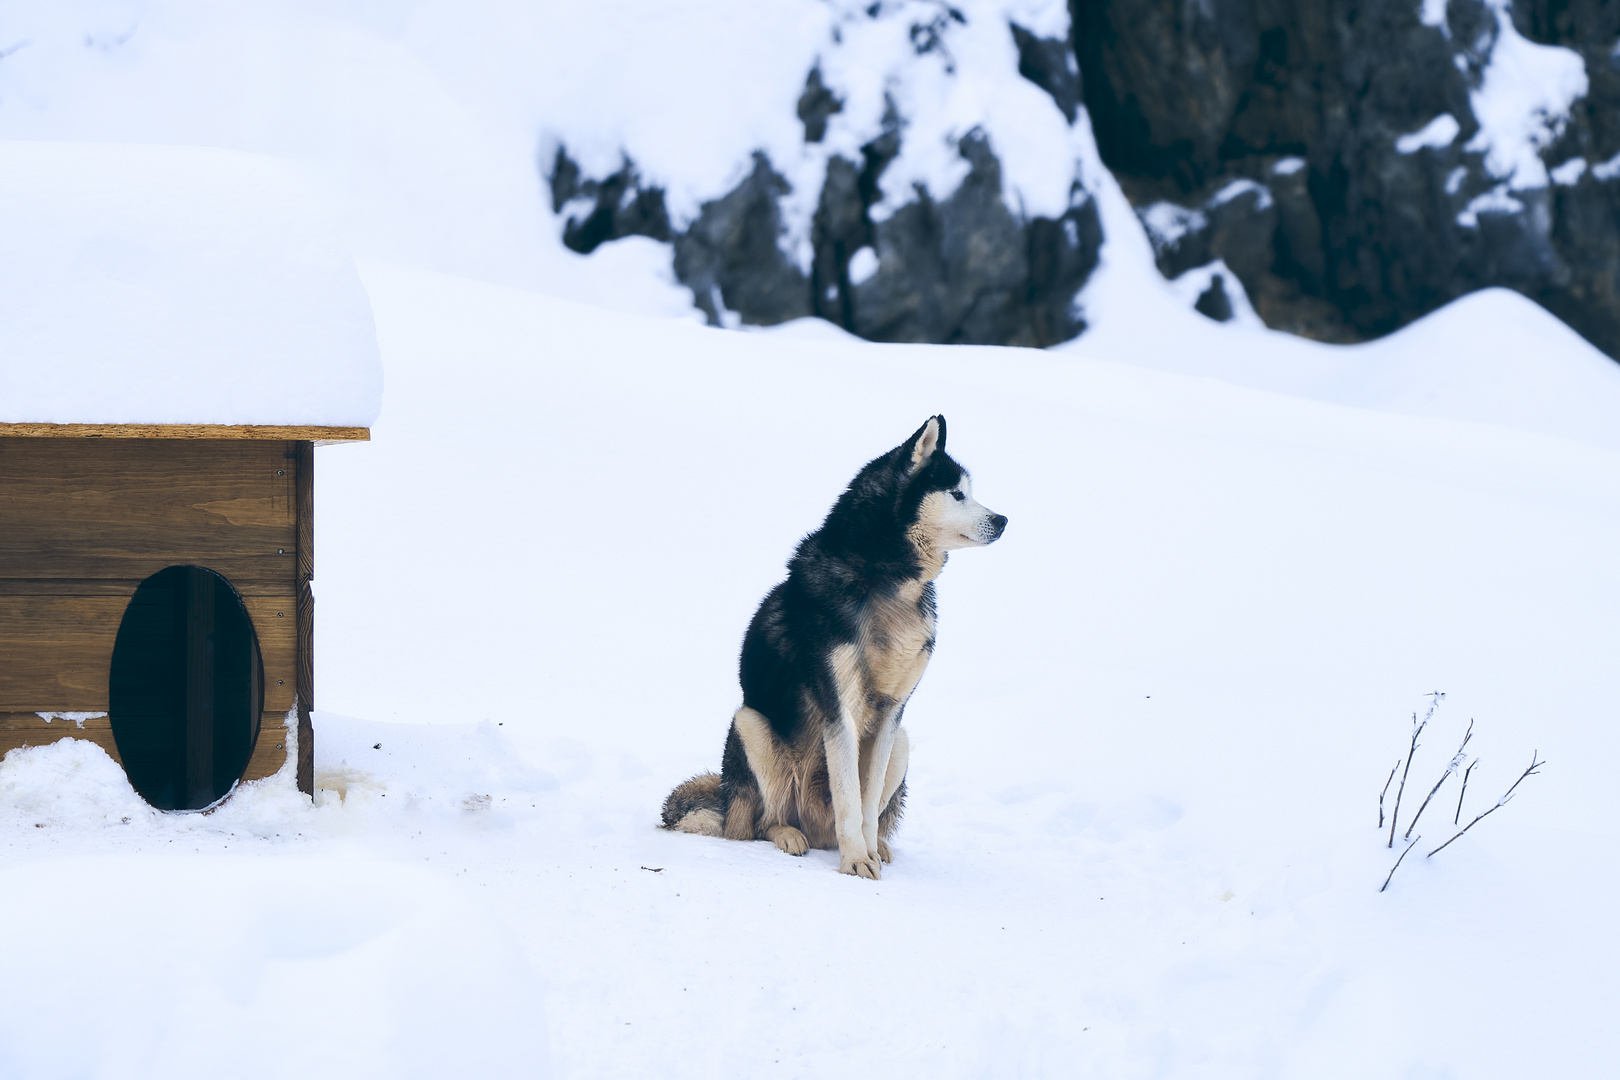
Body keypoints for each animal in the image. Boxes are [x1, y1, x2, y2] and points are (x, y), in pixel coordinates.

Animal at [657, 414, 997, 880]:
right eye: (958, 493)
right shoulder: (838, 707)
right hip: (750, 724)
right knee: (756, 825)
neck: (885, 579)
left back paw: (879, 847)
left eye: (969, 491)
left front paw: (867, 854)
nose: (1003, 519)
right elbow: (850, 800)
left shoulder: (891, 714)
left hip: (902, 740)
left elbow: (866, 805)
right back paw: (787, 835)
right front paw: (855, 861)